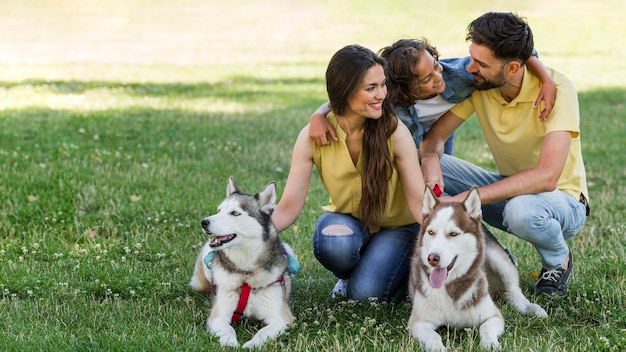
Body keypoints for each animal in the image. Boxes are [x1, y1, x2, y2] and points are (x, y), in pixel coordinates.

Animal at [189, 176, 296, 350]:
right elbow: (228, 329)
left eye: (235, 213)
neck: (246, 272)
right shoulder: (218, 315)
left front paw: (252, 344)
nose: (204, 222)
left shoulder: (282, 318)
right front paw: (230, 342)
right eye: (219, 210)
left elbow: (263, 332)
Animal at [404, 186, 544, 350]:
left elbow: (486, 327)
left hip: (497, 259)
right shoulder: (418, 323)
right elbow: (434, 336)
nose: (432, 258)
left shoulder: (493, 316)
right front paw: (439, 348)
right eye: (431, 232)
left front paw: (491, 345)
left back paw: (532, 309)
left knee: (515, 292)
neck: (451, 287)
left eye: (453, 234)